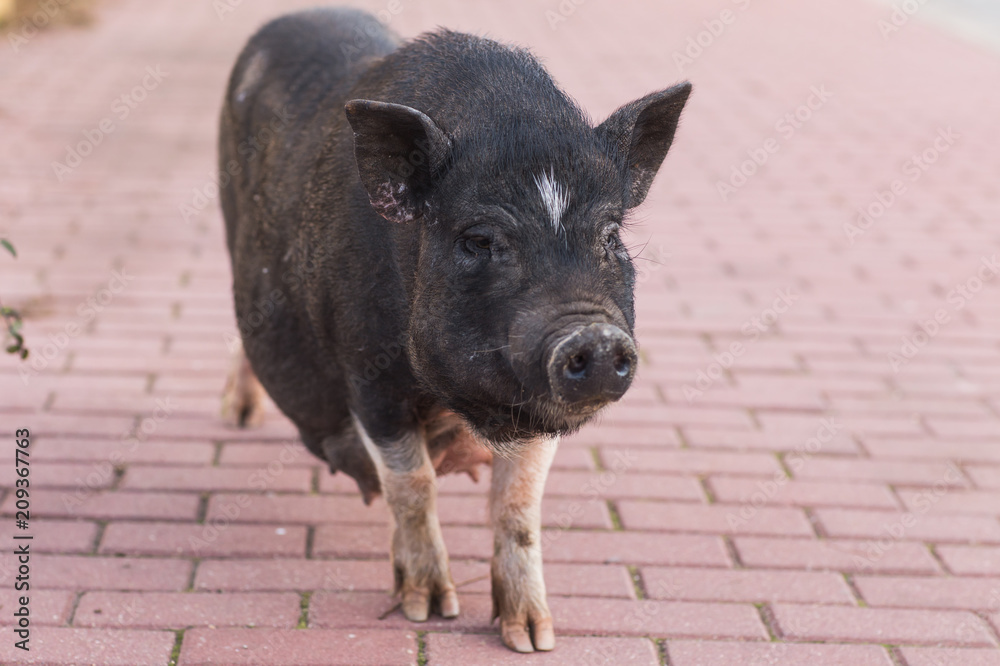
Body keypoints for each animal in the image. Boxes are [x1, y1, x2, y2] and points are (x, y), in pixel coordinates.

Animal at [219, 7, 691, 653]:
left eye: (611, 235)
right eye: (479, 239)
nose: (592, 338)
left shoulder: (536, 406)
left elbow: (518, 505)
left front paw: (533, 638)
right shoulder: (368, 375)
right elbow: (412, 484)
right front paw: (428, 609)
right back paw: (237, 418)